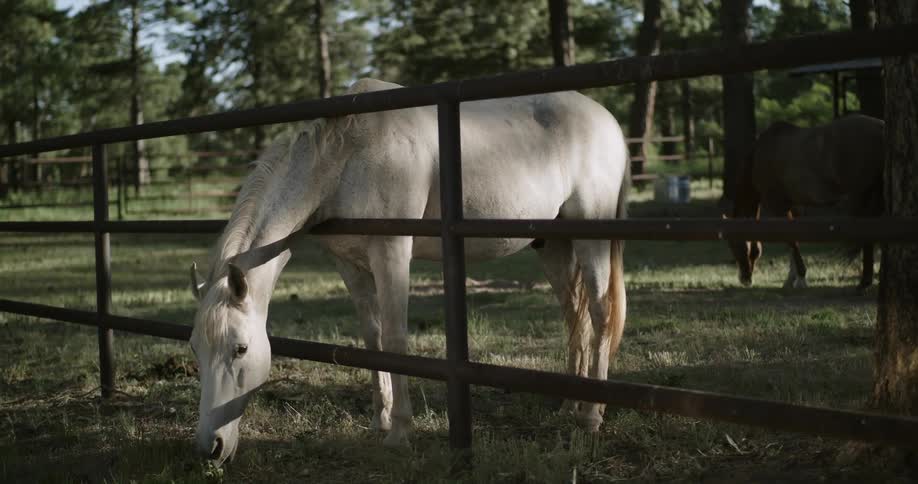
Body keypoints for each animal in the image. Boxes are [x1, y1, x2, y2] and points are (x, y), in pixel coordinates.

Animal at [186, 78, 630, 465]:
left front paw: (400, 431)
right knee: (575, 317)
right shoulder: (350, 264)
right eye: (194, 348)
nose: (211, 447)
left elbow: (397, 338)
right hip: (553, 245)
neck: (349, 154)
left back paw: (592, 414)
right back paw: (570, 403)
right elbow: (373, 338)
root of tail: (608, 121)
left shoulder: (392, 252)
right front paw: (379, 419)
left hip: (591, 237)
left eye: (240, 349)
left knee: (600, 313)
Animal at [728, 114, 884, 290]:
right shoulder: (793, 206)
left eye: (734, 246)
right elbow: (793, 240)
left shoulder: (777, 206)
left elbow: (791, 239)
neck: (760, 155)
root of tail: (881, 127)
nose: (745, 279)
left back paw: (865, 281)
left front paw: (801, 278)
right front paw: (791, 278)